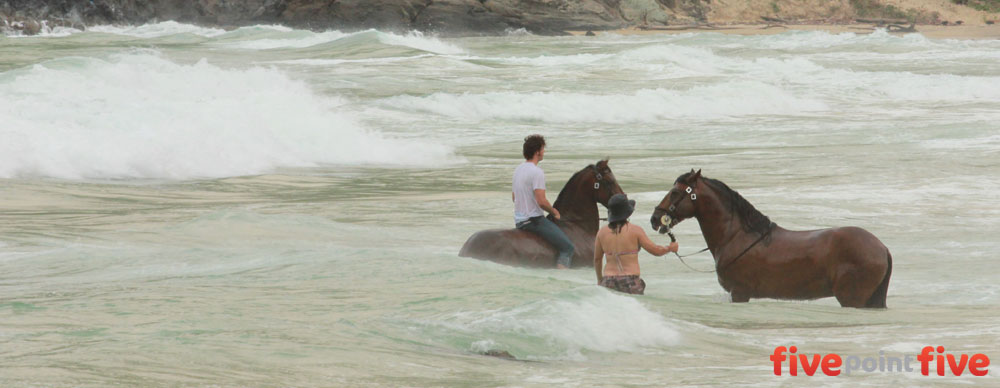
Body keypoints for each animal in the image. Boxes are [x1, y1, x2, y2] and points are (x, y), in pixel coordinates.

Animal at [652, 170, 896, 310]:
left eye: (675, 192)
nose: (655, 218)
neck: (737, 236)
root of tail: (882, 247)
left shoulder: (739, 293)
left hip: (852, 298)